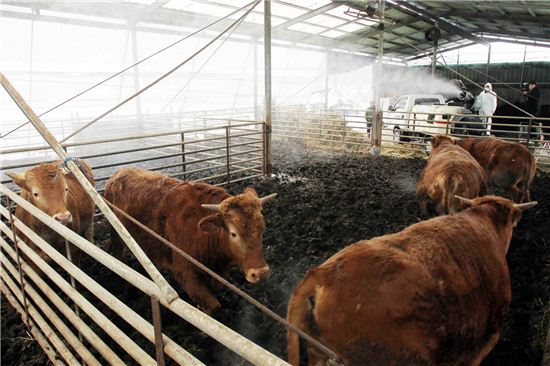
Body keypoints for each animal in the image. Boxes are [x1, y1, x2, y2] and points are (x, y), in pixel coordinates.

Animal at [103, 167, 276, 314]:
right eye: (234, 234)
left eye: (262, 229)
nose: (260, 273)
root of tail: (118, 173)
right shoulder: (185, 273)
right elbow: (213, 307)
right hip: (116, 233)